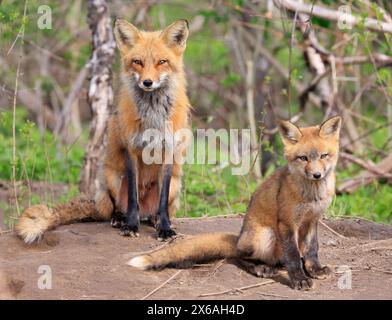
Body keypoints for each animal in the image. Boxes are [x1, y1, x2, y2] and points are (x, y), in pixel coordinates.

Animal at [16, 19, 191, 242]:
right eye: (137, 62)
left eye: (162, 62)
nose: (147, 82)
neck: (152, 115)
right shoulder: (131, 150)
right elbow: (132, 198)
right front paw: (131, 226)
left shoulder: (168, 151)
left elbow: (162, 202)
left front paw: (165, 227)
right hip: (113, 178)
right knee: (117, 207)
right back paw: (120, 218)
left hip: (177, 184)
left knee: (157, 208)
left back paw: (154, 220)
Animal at [128, 115, 340, 290]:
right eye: (303, 158)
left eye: (323, 156)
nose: (317, 175)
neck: (312, 195)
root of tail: (239, 238)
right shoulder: (287, 223)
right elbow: (294, 256)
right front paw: (299, 279)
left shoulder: (312, 220)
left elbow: (312, 250)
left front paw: (315, 269)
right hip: (266, 235)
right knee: (241, 257)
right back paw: (261, 268)